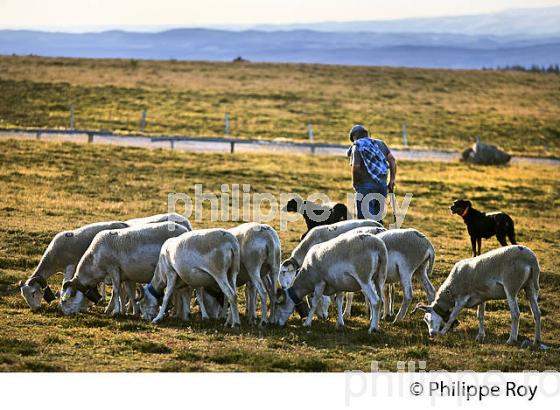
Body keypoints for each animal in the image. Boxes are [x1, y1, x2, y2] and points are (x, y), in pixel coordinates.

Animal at [60, 223, 189, 316]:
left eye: (64, 301)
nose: (66, 314)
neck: (94, 260)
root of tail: (185, 230)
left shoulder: (113, 269)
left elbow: (116, 291)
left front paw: (115, 312)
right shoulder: (125, 276)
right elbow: (128, 293)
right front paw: (131, 311)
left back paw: (175, 313)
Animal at [416, 245, 544, 348]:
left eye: (428, 318)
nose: (431, 334)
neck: (449, 292)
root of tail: (531, 259)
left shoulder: (461, 299)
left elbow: (452, 316)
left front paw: (442, 333)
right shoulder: (482, 297)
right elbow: (480, 316)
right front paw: (480, 336)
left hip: (511, 286)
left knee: (516, 313)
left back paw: (511, 339)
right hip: (530, 287)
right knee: (537, 313)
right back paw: (536, 341)